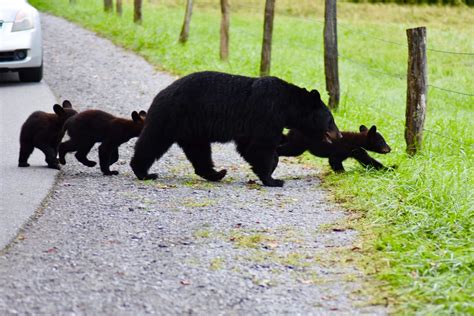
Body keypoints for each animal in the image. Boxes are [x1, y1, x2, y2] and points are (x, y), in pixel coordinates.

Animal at [130, 70, 340, 186]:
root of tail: (160, 94)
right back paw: (143, 172)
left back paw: (217, 174)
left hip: (192, 129)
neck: (288, 105)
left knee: (199, 152)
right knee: (153, 141)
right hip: (172, 116)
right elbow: (260, 146)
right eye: (330, 120)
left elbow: (248, 147)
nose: (338, 135)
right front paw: (273, 179)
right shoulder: (268, 113)